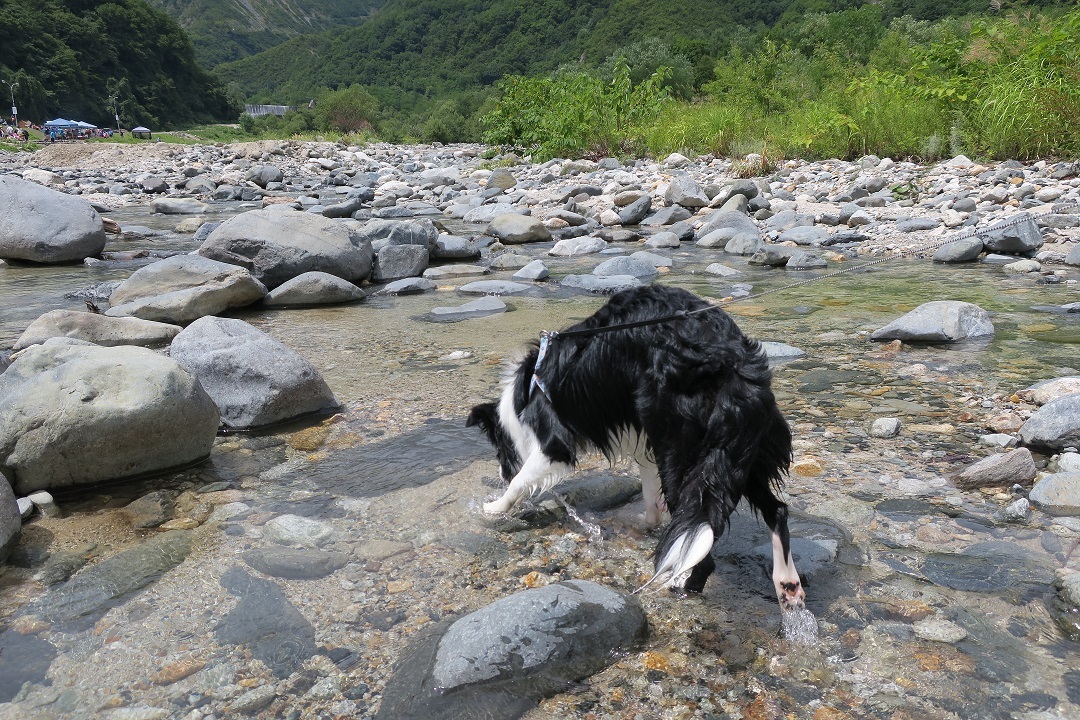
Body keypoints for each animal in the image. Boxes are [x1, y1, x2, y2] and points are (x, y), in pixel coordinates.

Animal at [464, 284, 803, 613]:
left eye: (500, 452)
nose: (500, 473)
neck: (524, 396)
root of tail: (733, 360)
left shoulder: (554, 444)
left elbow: (521, 481)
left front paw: (494, 508)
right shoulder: (645, 443)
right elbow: (650, 495)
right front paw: (647, 524)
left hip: (682, 449)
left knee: (700, 538)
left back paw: (678, 586)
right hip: (738, 453)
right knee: (776, 511)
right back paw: (788, 585)